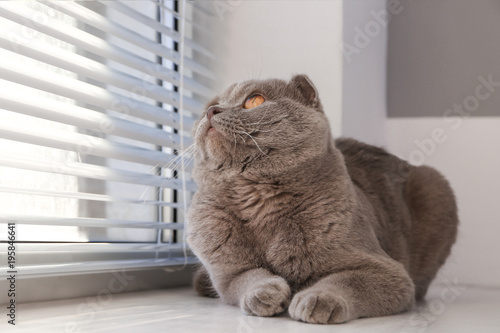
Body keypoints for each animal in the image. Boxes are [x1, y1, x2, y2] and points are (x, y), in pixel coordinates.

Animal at [186, 74, 458, 322]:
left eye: (254, 100)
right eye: (210, 106)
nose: (211, 111)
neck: (257, 199)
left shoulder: (386, 271)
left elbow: (347, 280)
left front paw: (318, 299)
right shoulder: (228, 272)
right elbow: (248, 277)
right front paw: (265, 293)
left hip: (434, 183)